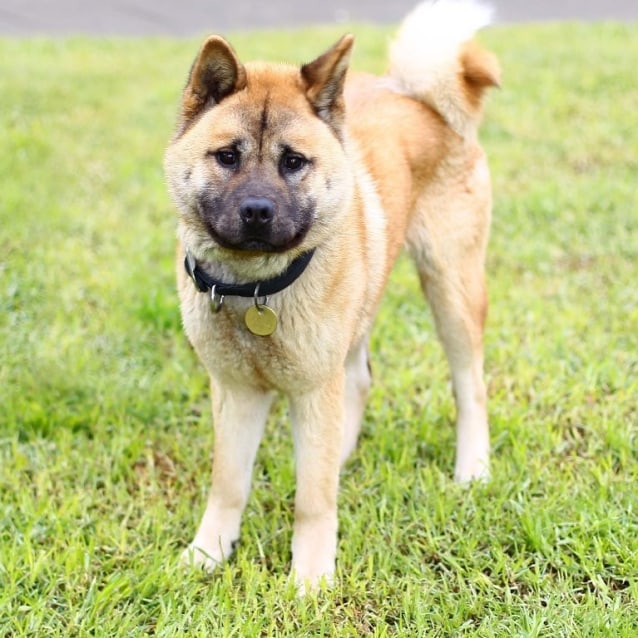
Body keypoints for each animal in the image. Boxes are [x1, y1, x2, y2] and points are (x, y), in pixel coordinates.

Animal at [164, 0, 500, 592]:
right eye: (227, 156)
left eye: (293, 161)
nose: (257, 210)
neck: (254, 289)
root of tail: (422, 99)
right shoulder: (236, 391)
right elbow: (229, 483)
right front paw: (207, 553)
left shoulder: (311, 386)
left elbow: (313, 501)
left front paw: (309, 579)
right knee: (357, 383)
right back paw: (340, 454)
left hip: (450, 287)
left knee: (470, 386)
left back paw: (472, 469)